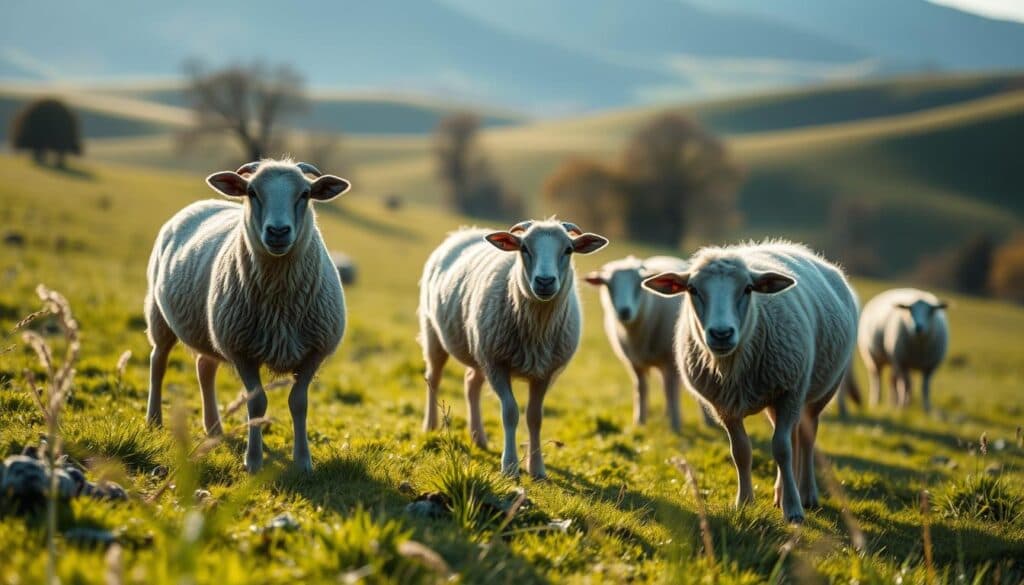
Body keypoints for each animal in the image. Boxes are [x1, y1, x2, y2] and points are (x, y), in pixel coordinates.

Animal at [144, 158, 351, 473]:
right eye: (252, 192)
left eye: (305, 194)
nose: (277, 232)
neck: (279, 301)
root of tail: (203, 202)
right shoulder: (242, 351)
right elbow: (256, 404)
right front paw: (253, 461)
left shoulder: (314, 351)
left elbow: (298, 403)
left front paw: (303, 461)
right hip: (159, 314)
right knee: (159, 362)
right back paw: (154, 420)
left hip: (209, 329)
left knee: (205, 368)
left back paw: (214, 430)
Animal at [419, 219, 608, 478]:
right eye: (524, 248)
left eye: (569, 250)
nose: (545, 281)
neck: (536, 330)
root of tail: (464, 231)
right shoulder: (497, 365)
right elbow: (510, 413)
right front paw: (509, 466)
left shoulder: (545, 373)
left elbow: (534, 417)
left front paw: (537, 469)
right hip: (435, 333)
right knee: (434, 379)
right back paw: (430, 426)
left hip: (480, 350)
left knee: (471, 383)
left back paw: (478, 438)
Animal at [584, 255, 714, 432]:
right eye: (608, 285)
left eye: (638, 285)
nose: (624, 311)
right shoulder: (635, 363)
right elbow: (641, 389)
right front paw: (639, 422)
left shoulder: (670, 360)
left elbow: (671, 392)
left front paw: (675, 426)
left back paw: (707, 421)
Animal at [643, 241, 858, 523]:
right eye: (692, 289)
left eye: (747, 288)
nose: (721, 333)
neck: (732, 369)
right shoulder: (725, 407)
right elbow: (741, 452)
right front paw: (744, 502)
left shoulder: (790, 391)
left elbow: (781, 449)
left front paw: (793, 509)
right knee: (794, 435)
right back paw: (781, 491)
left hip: (819, 391)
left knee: (807, 436)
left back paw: (807, 493)